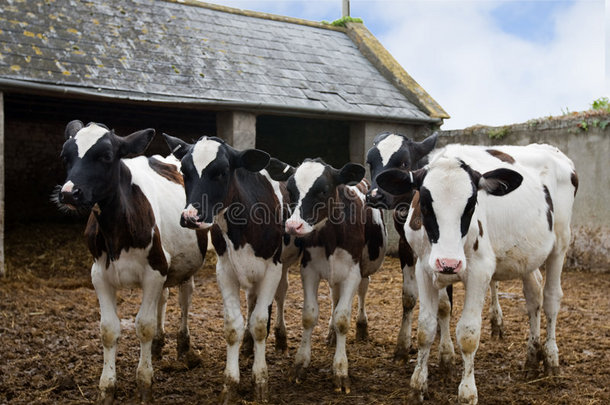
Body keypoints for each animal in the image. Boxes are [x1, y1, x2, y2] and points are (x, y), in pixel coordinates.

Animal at [55, 120, 207, 404]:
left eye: (106, 156)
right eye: (66, 156)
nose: (69, 193)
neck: (116, 231)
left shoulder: (154, 271)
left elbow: (143, 326)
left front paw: (145, 383)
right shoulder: (99, 275)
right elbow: (108, 329)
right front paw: (107, 386)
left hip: (184, 265)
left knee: (185, 297)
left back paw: (183, 345)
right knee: (164, 298)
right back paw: (159, 343)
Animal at [160, 133, 286, 400]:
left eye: (222, 171)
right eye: (184, 170)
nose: (190, 217)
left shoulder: (273, 268)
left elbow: (260, 323)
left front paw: (260, 380)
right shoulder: (225, 270)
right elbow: (233, 326)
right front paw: (231, 383)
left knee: (278, 299)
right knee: (251, 302)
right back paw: (248, 346)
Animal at [266, 157, 384, 392]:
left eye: (323, 190)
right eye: (290, 191)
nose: (293, 226)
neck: (331, 237)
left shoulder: (352, 273)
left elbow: (342, 319)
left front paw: (340, 370)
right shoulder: (309, 270)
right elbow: (309, 316)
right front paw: (300, 364)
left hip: (364, 270)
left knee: (362, 292)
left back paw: (362, 327)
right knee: (334, 297)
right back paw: (330, 334)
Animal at [376, 144, 576, 402]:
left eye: (471, 205)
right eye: (426, 205)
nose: (449, 262)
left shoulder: (480, 271)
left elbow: (468, 334)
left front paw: (467, 393)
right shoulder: (424, 267)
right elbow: (425, 329)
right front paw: (418, 386)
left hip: (560, 244)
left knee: (551, 299)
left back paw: (551, 359)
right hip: (527, 256)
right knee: (534, 297)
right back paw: (532, 358)